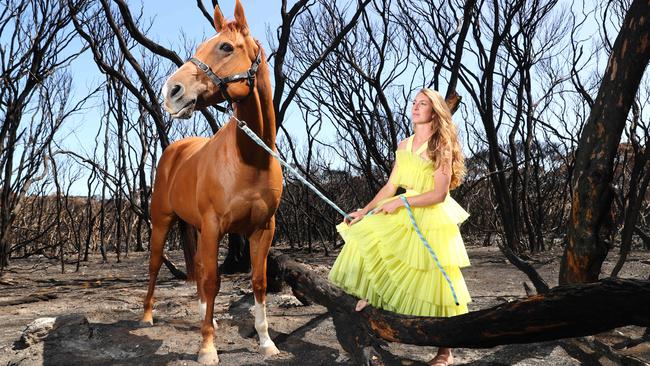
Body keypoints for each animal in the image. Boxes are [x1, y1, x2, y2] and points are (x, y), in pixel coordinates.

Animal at [140, 2, 282, 364]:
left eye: (226, 47)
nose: (171, 92)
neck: (250, 160)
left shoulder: (262, 229)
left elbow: (257, 282)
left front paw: (266, 342)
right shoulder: (215, 226)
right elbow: (214, 281)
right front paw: (206, 347)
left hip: (198, 229)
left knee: (202, 272)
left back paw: (210, 316)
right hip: (163, 224)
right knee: (156, 266)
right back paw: (147, 316)